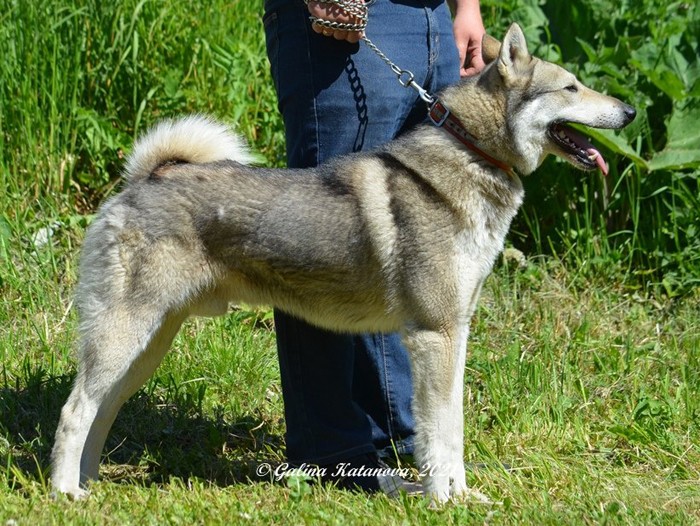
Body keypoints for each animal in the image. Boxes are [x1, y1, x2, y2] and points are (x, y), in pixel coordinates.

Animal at [51, 23, 635, 502]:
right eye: (571, 88)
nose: (629, 112)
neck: (472, 154)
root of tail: (142, 180)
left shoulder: (455, 332)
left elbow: (452, 427)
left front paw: (464, 496)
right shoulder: (435, 335)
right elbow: (440, 434)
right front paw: (445, 500)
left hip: (148, 344)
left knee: (102, 409)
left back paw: (90, 483)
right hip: (126, 332)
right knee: (74, 410)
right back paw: (64, 492)